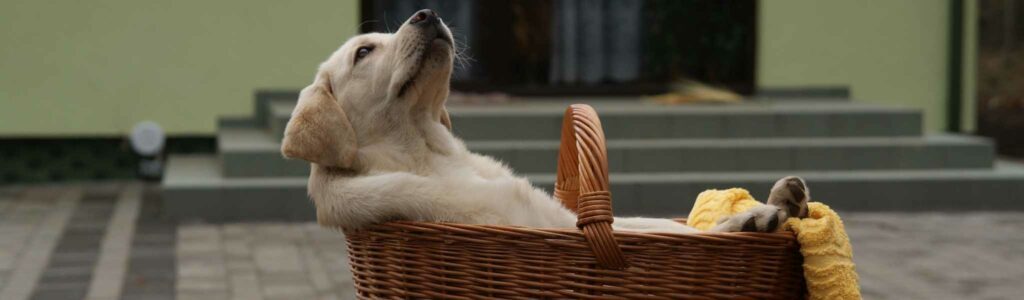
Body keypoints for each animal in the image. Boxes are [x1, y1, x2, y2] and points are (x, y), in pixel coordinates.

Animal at [280, 9, 806, 232]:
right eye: (363, 52)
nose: (427, 13)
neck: (430, 152)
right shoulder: (545, 225)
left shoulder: (571, 217)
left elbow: (666, 227)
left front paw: (759, 211)